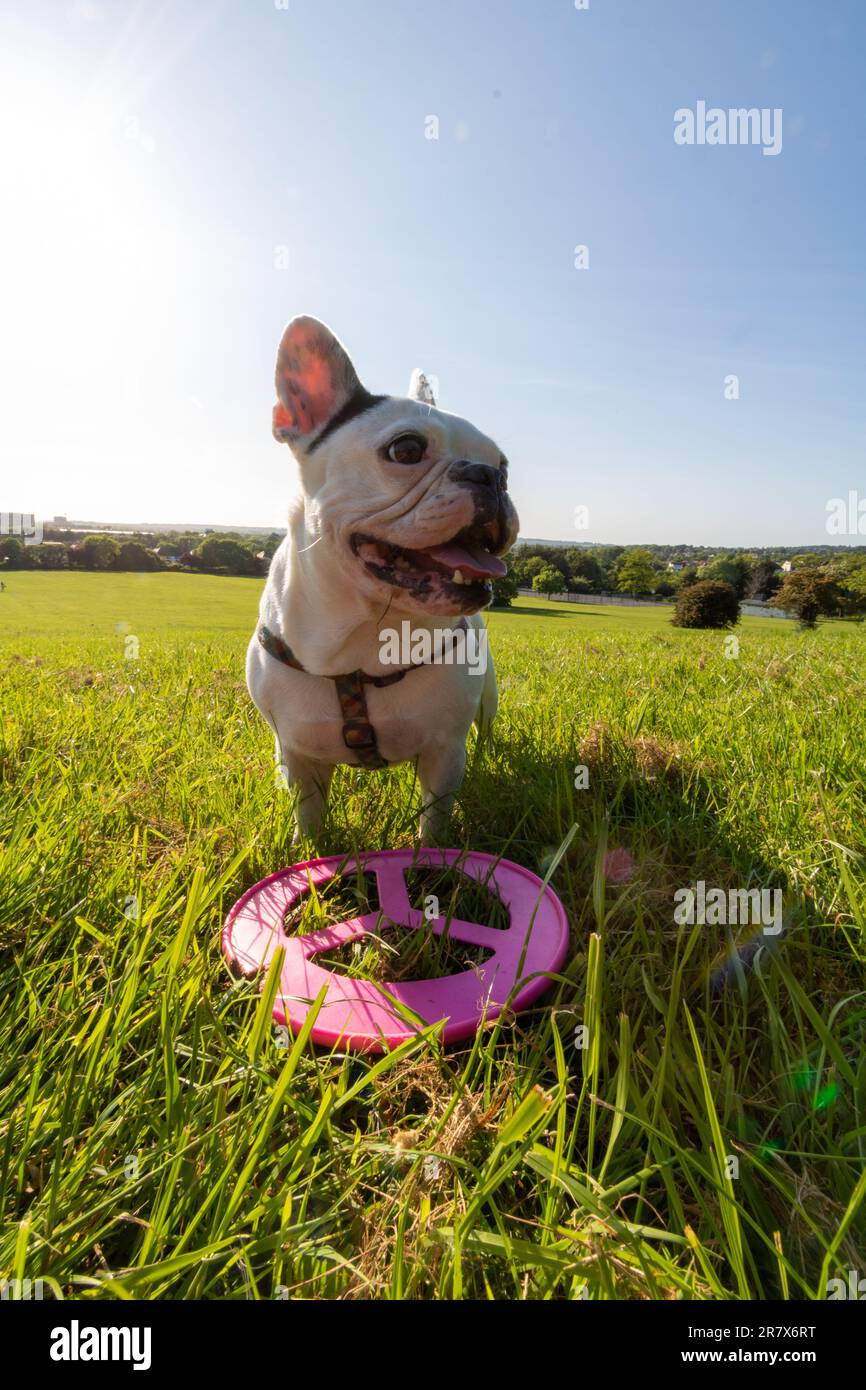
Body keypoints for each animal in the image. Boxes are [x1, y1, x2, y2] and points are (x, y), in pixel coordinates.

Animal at [244, 315, 517, 839]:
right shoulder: (300, 754)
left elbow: (434, 818)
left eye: (505, 465)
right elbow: (307, 813)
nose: (489, 476)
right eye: (406, 449)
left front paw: (431, 856)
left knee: (488, 728)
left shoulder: (444, 752)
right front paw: (307, 852)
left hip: (487, 697)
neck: (368, 633)